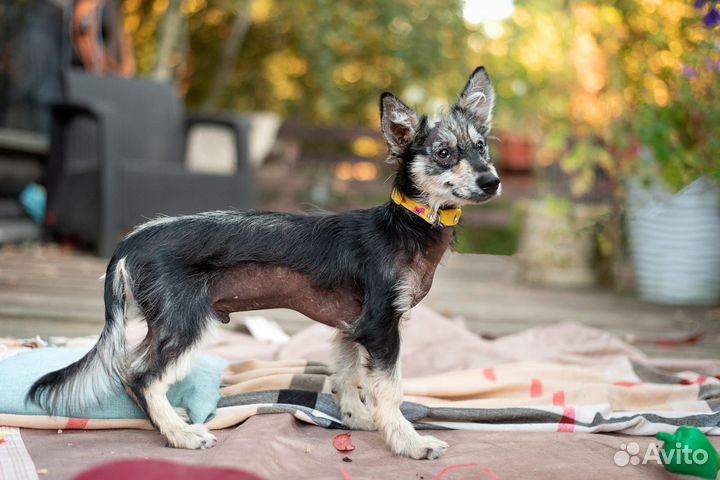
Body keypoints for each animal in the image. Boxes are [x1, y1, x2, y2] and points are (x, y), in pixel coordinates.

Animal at [29, 67, 500, 462]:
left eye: (481, 147)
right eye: (443, 152)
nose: (492, 181)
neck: (407, 226)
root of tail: (131, 241)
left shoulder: (353, 328)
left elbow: (347, 378)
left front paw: (360, 421)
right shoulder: (381, 327)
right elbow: (390, 390)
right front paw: (407, 441)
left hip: (169, 325)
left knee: (129, 370)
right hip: (184, 323)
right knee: (141, 375)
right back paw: (181, 435)